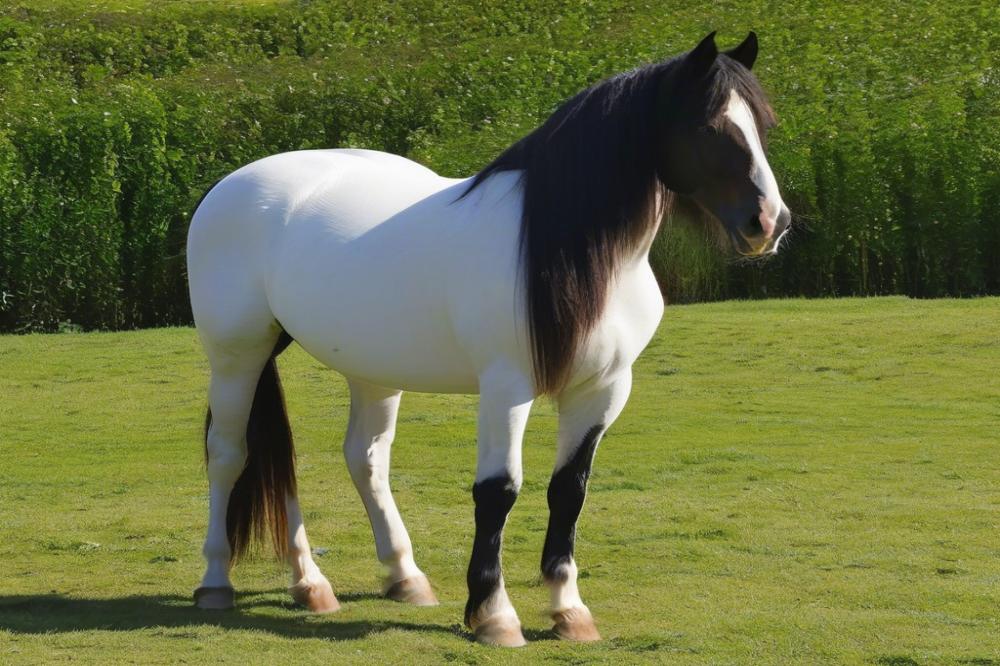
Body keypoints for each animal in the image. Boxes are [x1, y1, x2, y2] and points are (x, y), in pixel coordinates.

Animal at [184, 29, 784, 644]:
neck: (572, 256)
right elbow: (498, 491)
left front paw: (569, 610)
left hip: (371, 368)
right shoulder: (507, 387)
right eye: (707, 126)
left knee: (362, 459)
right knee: (230, 453)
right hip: (239, 355)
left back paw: (361, 580)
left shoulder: (603, 389)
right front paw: (495, 613)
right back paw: (217, 582)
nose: (770, 222)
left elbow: (570, 490)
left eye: (765, 125)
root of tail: (231, 186)